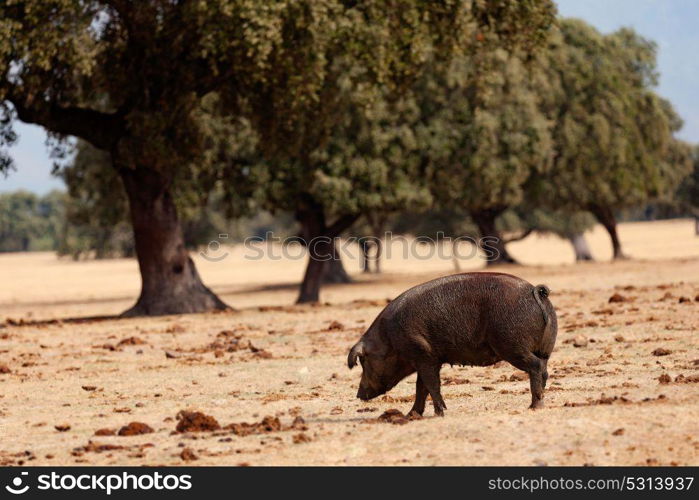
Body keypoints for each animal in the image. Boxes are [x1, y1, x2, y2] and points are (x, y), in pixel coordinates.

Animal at [348, 272, 556, 416]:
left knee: (535, 366)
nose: (358, 395)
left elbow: (431, 385)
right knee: (544, 370)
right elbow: (421, 387)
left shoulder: (423, 355)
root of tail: (536, 291)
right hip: (544, 350)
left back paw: (534, 407)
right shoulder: (428, 359)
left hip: (512, 344)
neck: (388, 338)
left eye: (364, 362)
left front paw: (440, 413)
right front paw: (412, 415)